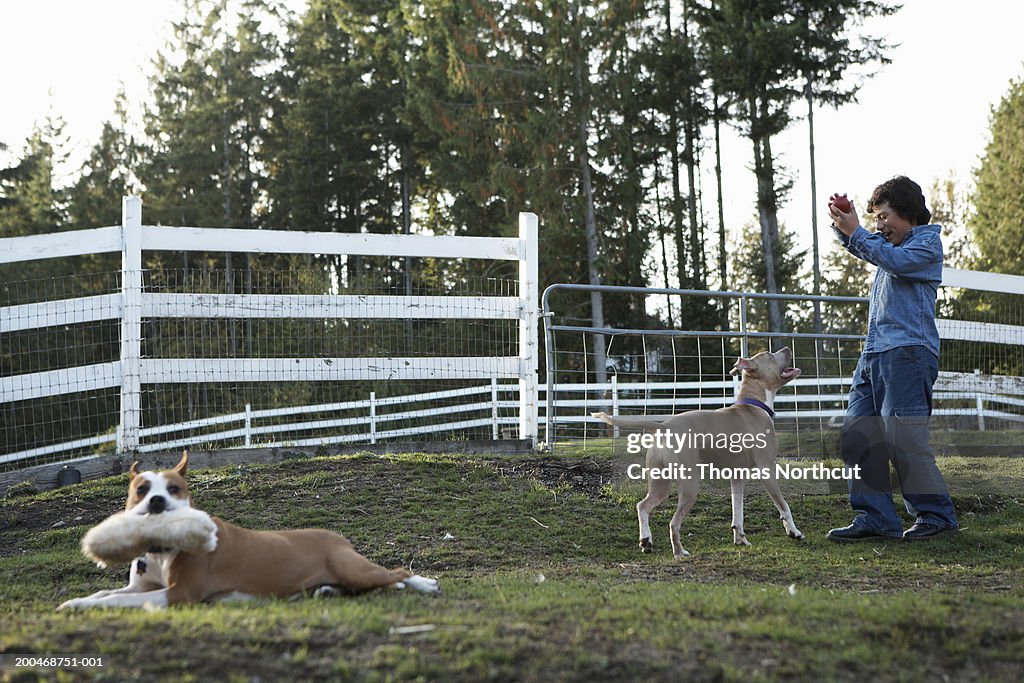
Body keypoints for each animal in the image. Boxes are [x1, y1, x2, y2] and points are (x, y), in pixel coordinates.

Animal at [58, 450, 438, 610]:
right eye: (141, 489)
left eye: (174, 489)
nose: (156, 502)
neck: (161, 549)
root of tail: (336, 536)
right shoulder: (142, 586)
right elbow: (105, 594)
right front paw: (77, 602)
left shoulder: (181, 594)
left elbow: (120, 601)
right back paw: (329, 592)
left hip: (354, 568)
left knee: (398, 573)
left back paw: (424, 584)